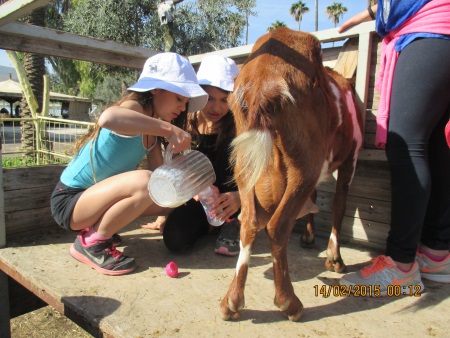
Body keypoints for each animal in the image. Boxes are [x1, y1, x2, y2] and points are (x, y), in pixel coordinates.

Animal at [220, 29, 364, 322]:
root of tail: (263, 79)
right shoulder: (350, 158)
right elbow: (339, 204)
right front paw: (335, 259)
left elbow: (317, 199)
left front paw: (309, 237)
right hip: (304, 162)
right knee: (278, 226)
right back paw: (289, 303)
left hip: (245, 160)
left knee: (248, 221)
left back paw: (232, 301)